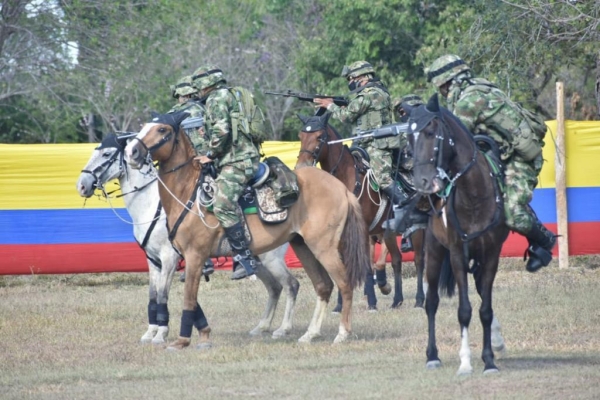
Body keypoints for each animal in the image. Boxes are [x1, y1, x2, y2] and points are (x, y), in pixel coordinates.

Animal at [76, 134, 298, 344]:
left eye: (106, 154)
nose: (81, 185)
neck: (153, 205)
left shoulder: (169, 258)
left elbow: (163, 294)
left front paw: (161, 334)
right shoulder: (153, 260)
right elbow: (153, 295)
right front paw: (151, 332)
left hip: (271, 259)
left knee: (290, 285)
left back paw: (283, 329)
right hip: (258, 260)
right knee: (274, 287)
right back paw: (261, 327)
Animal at [125, 111, 372, 348]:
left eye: (162, 129)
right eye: (144, 127)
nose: (131, 152)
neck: (189, 194)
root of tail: (340, 188)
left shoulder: (193, 257)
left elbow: (187, 298)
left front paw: (181, 340)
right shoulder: (177, 259)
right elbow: (182, 298)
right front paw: (201, 334)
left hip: (323, 248)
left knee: (343, 284)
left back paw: (342, 333)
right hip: (303, 246)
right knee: (323, 286)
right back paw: (309, 334)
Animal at [296, 114, 426, 308]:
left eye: (320, 137)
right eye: (301, 136)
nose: (301, 165)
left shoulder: (363, 231)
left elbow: (366, 267)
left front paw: (371, 302)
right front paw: (340, 305)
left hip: (416, 228)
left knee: (418, 259)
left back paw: (419, 299)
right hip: (388, 232)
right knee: (396, 260)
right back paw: (397, 299)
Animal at [406, 94, 508, 376]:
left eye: (430, 132)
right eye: (408, 139)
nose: (422, 182)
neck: (474, 196)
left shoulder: (491, 256)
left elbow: (485, 309)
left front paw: (489, 360)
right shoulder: (457, 255)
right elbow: (464, 310)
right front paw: (465, 362)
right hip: (434, 251)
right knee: (431, 302)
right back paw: (432, 355)